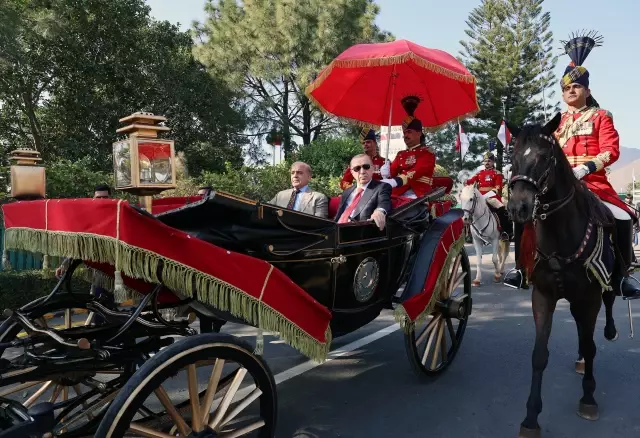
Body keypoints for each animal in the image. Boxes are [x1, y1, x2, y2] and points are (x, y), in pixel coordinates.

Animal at [504, 114, 620, 438]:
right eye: (511, 157)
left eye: (545, 157)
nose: (518, 207)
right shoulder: (543, 295)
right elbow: (539, 355)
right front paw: (531, 417)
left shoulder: (590, 296)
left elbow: (592, 346)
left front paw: (589, 398)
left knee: (602, 314)